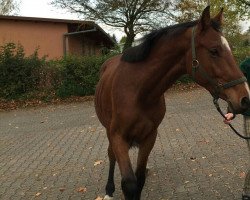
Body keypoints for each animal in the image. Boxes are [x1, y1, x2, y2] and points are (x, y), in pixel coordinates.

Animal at [94, 6, 250, 200]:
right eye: (214, 50)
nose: (245, 98)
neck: (138, 91)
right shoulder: (117, 137)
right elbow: (129, 183)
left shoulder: (149, 136)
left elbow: (139, 179)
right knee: (110, 155)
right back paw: (109, 190)